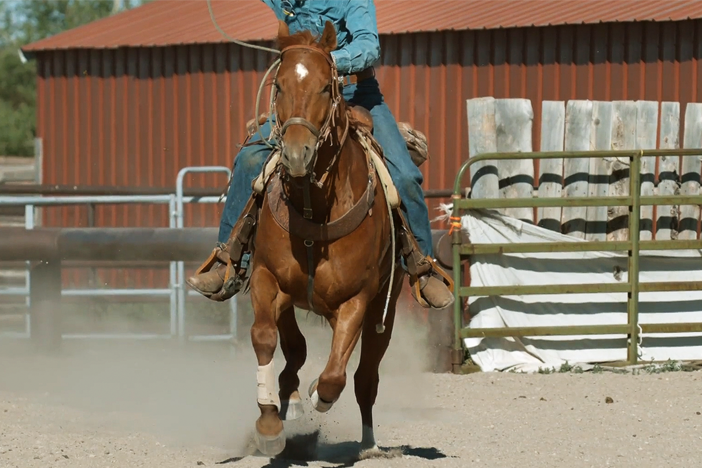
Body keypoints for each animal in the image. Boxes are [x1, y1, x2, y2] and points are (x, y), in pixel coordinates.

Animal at [250, 20, 408, 456]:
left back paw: (368, 442)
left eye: (325, 87)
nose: (296, 154)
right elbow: (265, 338)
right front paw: (269, 422)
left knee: (365, 377)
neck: (315, 207)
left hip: (384, 312)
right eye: (279, 85)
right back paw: (289, 398)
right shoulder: (266, 277)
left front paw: (317, 393)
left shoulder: (357, 299)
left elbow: (336, 374)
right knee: (295, 348)